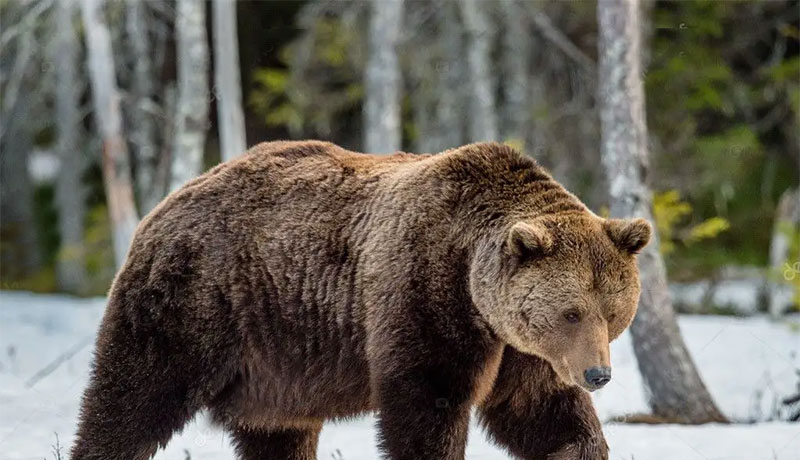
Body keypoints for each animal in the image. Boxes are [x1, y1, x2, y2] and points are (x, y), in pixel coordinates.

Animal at [71, 140, 650, 460]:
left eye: (612, 313)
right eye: (571, 311)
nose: (598, 374)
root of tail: (166, 204)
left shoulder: (520, 352)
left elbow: (547, 417)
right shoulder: (422, 296)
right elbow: (425, 409)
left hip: (274, 367)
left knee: (275, 435)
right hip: (194, 304)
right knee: (132, 400)